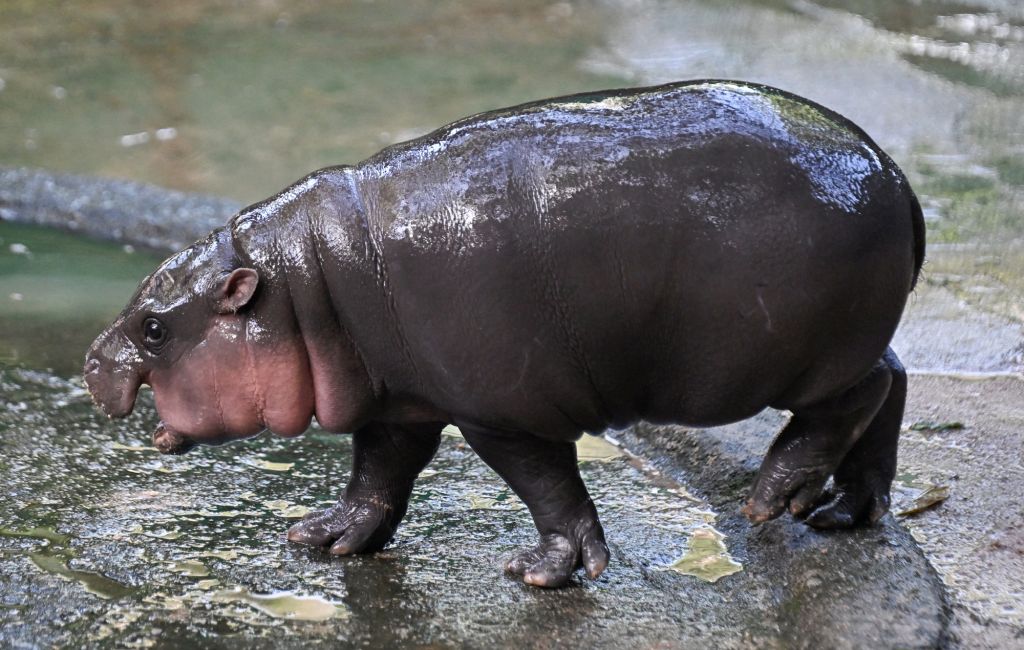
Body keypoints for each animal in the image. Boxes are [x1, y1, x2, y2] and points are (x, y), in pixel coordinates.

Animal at [86, 81, 921, 589]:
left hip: (789, 359)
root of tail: (896, 176)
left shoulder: (501, 410)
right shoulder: (401, 400)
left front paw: (545, 572)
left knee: (859, 396)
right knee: (895, 380)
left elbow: (547, 487)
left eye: (155, 328)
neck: (302, 287)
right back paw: (845, 512)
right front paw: (324, 537)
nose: (93, 359)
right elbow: (377, 473)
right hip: (843, 341)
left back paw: (775, 496)